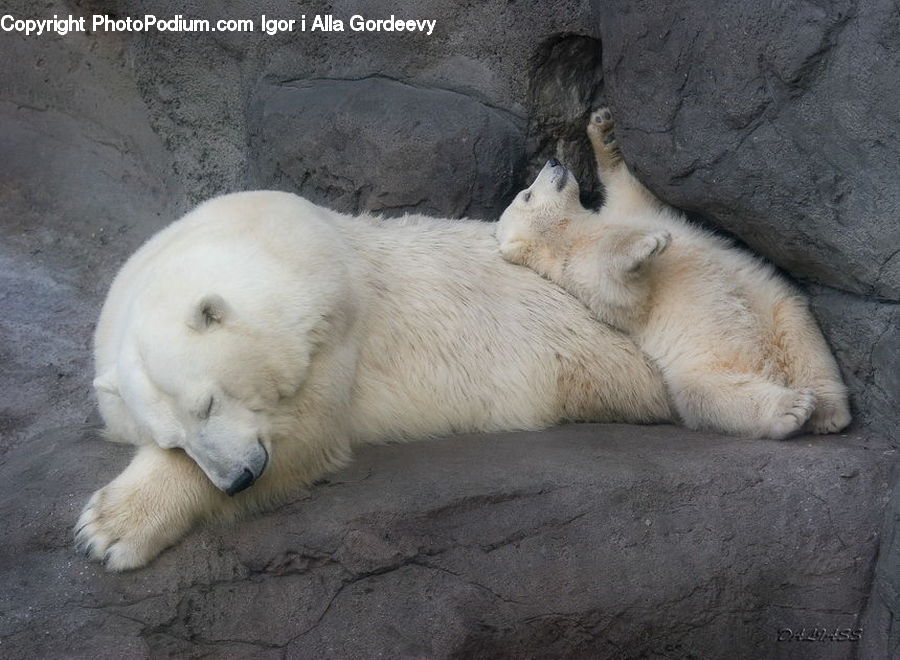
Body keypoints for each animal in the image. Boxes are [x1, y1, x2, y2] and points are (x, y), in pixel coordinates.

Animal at [76, 190, 673, 570]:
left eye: (208, 404)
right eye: (170, 439)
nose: (240, 478)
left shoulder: (338, 315)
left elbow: (309, 431)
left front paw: (107, 528)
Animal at [496, 107, 851, 440]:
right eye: (527, 194)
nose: (554, 161)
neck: (578, 229)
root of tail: (771, 368)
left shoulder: (626, 210)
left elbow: (627, 186)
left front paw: (602, 129)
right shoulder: (576, 267)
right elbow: (618, 289)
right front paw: (648, 243)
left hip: (771, 306)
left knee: (800, 331)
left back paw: (829, 411)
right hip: (700, 365)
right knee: (710, 396)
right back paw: (794, 407)